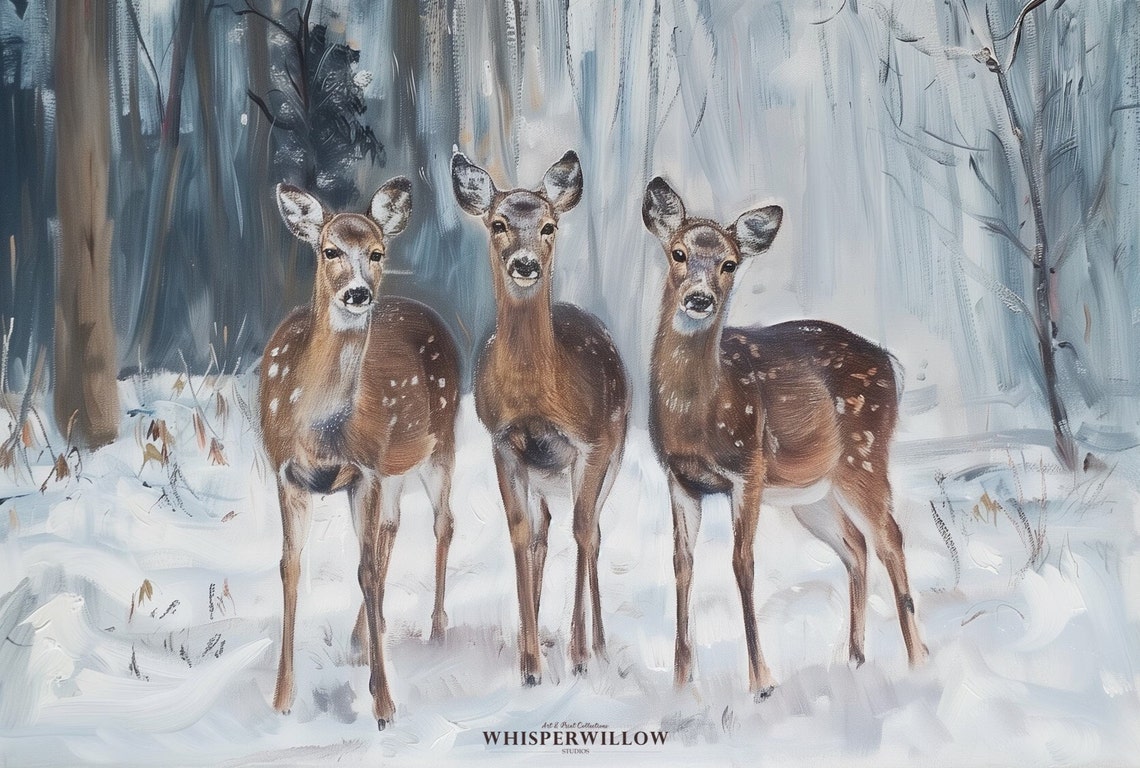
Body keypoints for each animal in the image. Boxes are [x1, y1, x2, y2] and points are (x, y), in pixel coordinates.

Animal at [259, 178, 460, 730]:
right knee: (392, 526)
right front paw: (281, 698)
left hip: (441, 441)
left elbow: (365, 570)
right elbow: (289, 566)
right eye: (329, 250)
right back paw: (364, 636)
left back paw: (436, 629)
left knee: (443, 522)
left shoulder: (365, 470)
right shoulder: (286, 473)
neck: (321, 430)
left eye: (376, 252)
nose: (357, 293)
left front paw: (384, 704)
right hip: (394, 469)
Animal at [450, 150, 630, 686]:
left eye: (549, 225)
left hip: (612, 456)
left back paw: (597, 646)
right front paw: (529, 664)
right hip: (542, 473)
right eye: (498, 223)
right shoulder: (502, 442)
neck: (537, 399)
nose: (525, 263)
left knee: (592, 532)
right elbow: (519, 533)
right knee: (545, 531)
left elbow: (582, 531)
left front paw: (578, 656)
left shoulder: (591, 444)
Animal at [642, 177, 928, 700]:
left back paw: (919, 660)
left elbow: (742, 563)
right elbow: (682, 563)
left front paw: (762, 681)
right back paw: (855, 659)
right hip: (812, 494)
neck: (696, 416)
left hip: (865, 455)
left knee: (890, 538)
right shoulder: (678, 478)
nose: (699, 298)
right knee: (856, 545)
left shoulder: (747, 469)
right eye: (677, 253)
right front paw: (681, 681)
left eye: (730, 263)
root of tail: (890, 363)